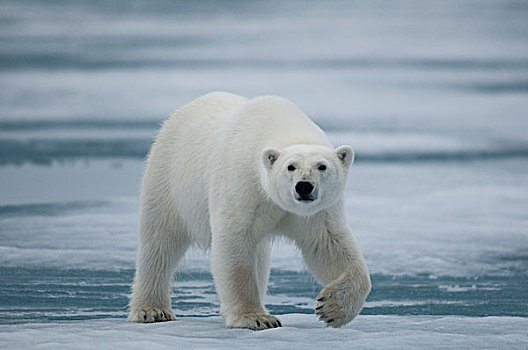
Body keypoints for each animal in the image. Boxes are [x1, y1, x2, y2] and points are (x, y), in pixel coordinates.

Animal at [128, 91, 372, 330]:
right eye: (290, 166)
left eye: (322, 166)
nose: (304, 186)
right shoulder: (242, 184)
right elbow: (235, 246)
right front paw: (255, 318)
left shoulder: (316, 213)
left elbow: (328, 245)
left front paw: (332, 308)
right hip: (168, 177)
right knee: (159, 242)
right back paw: (152, 310)